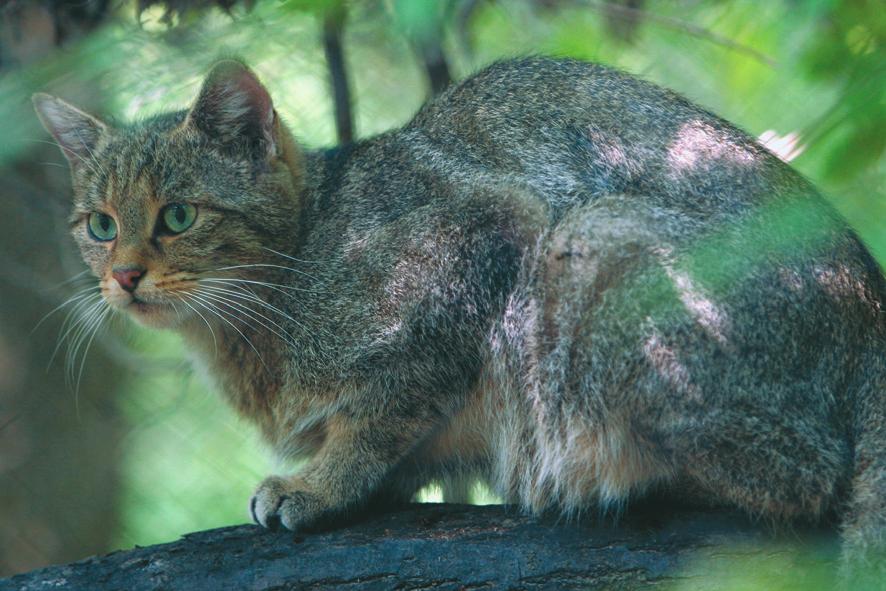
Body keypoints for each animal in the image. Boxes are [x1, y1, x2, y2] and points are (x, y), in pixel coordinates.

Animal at [34, 57, 885, 587]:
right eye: (100, 224)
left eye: (178, 215)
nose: (123, 276)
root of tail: (873, 299)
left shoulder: (484, 233)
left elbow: (386, 404)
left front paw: (322, 482)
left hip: (593, 241)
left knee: (809, 473)